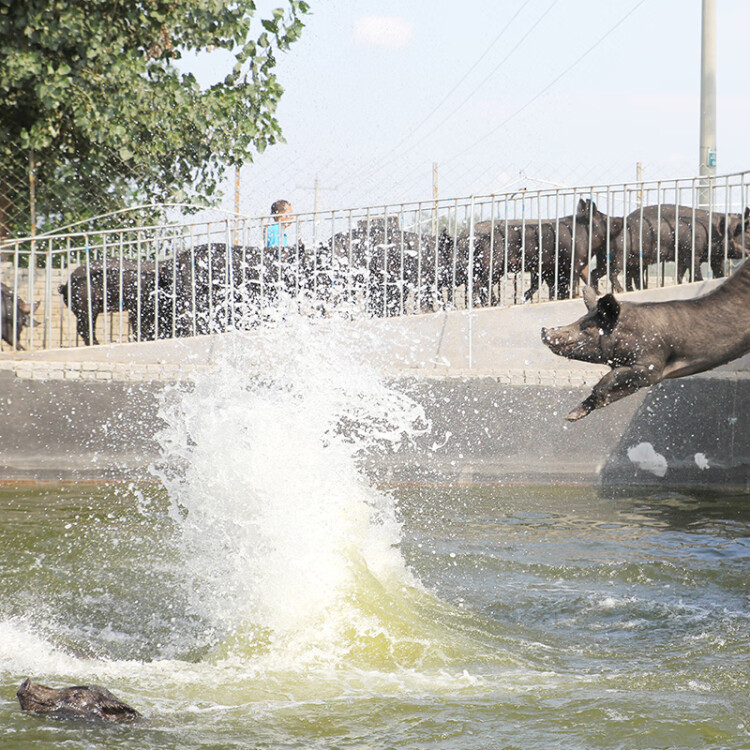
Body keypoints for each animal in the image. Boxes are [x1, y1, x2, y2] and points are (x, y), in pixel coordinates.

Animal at [540, 258, 750, 424]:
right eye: (579, 319)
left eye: (588, 327)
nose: (544, 329)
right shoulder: (635, 378)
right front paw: (571, 416)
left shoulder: (651, 365)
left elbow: (613, 376)